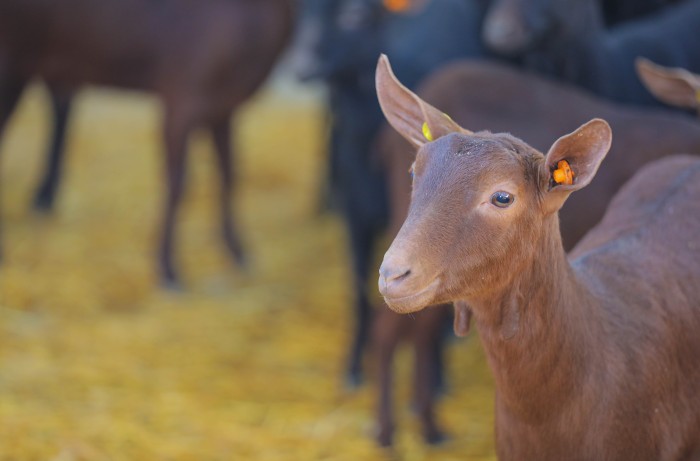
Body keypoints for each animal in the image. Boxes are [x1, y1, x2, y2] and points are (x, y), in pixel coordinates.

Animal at [0, 0, 294, 286]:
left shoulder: (223, 107)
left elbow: (229, 174)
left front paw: (238, 252)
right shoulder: (182, 97)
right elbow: (178, 182)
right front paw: (168, 269)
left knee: (60, 102)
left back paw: (43, 198)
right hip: (13, 65)